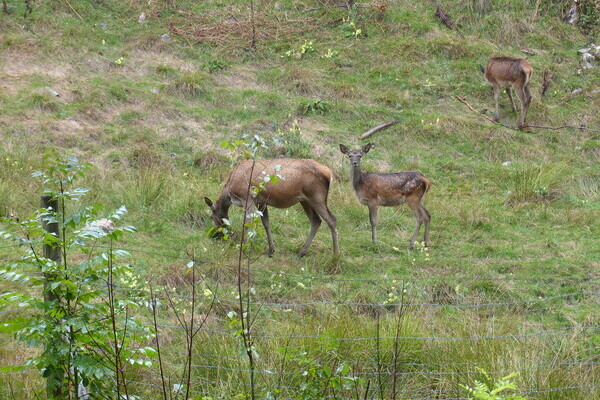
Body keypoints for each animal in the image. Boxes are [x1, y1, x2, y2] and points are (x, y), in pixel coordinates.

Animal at [205, 158, 338, 258]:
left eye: (211, 216)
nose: (216, 235)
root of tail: (330, 174)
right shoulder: (262, 202)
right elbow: (266, 223)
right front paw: (271, 250)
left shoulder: (247, 197)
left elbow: (248, 223)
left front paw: (244, 247)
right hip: (305, 200)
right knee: (316, 220)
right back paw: (301, 253)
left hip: (317, 196)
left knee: (332, 219)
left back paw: (336, 255)